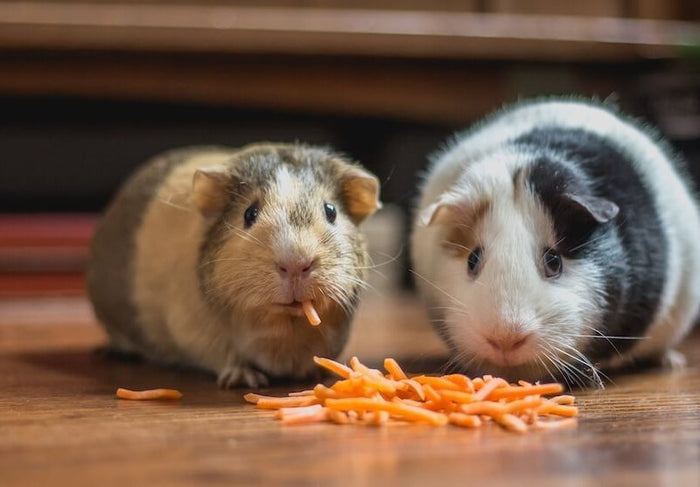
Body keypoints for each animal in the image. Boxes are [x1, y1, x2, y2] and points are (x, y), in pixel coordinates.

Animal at [88, 143, 381, 388]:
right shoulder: (196, 335)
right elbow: (229, 357)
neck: (285, 329)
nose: (296, 263)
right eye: (249, 214)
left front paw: (317, 372)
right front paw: (246, 380)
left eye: (331, 211)